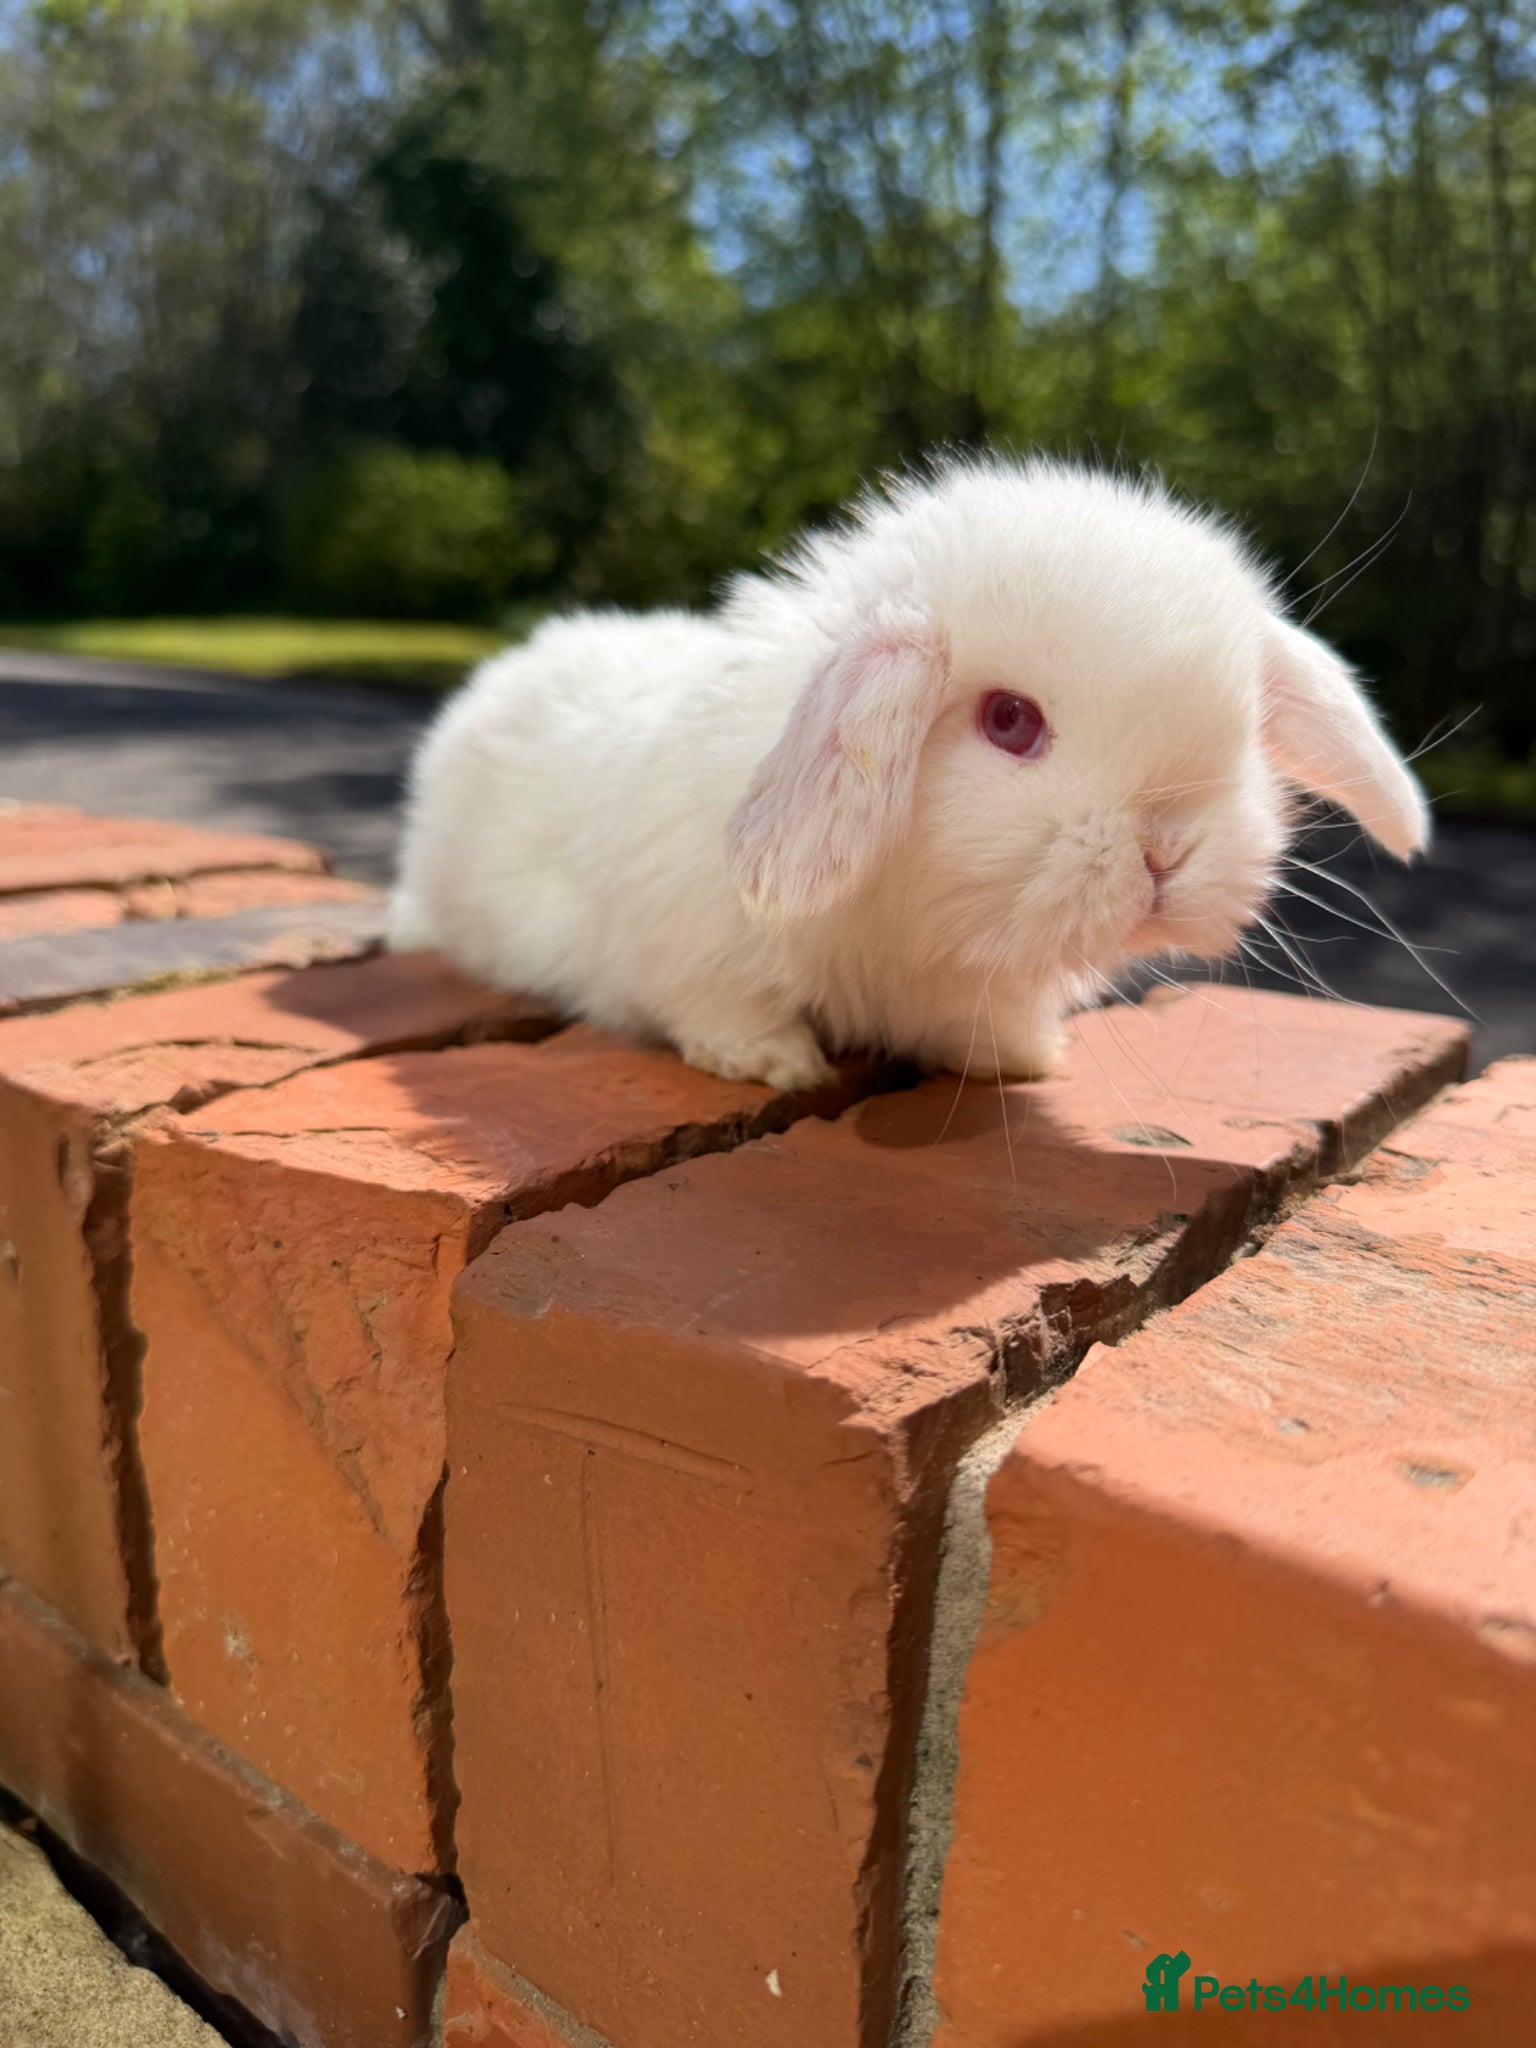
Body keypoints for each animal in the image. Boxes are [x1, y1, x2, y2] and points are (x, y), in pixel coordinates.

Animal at [388, 455, 1428, 1092]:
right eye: (1009, 721)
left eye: (1246, 731)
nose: (1166, 852)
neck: (920, 916)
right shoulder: (683, 947)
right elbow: (720, 1008)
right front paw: (776, 1063)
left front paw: (1023, 1056)